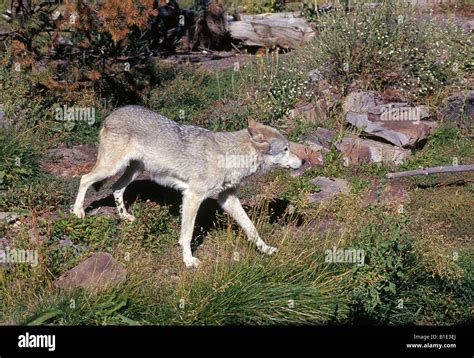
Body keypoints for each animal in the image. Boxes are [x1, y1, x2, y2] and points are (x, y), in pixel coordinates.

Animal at [73, 105, 304, 268]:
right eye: (286, 149)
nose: (302, 161)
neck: (230, 157)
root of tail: (111, 114)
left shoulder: (227, 199)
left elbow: (251, 227)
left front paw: (266, 249)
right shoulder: (192, 197)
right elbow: (187, 234)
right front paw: (188, 261)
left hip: (134, 170)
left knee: (116, 188)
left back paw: (125, 217)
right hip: (111, 168)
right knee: (84, 178)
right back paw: (78, 212)